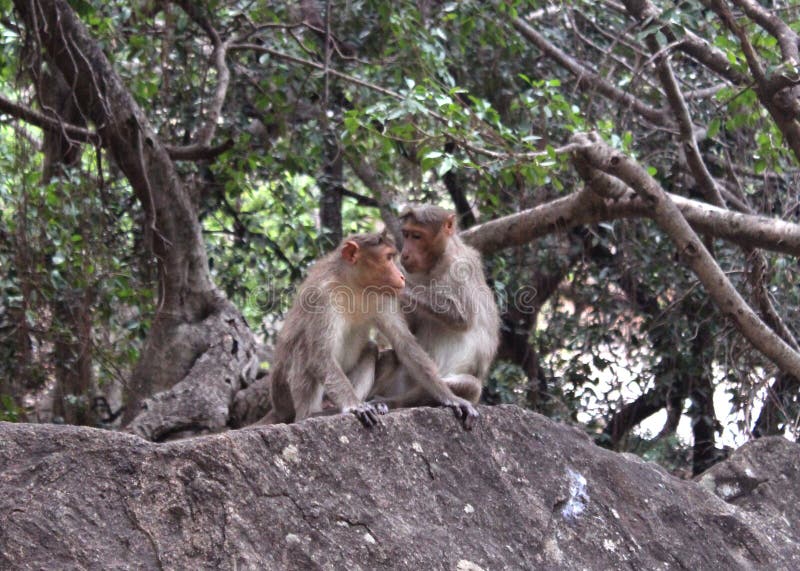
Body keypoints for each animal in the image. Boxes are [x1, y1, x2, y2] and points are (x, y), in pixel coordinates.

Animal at [260, 230, 478, 426]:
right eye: (388, 258)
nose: (401, 276)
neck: (354, 285)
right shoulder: (320, 296)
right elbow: (319, 355)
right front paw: (354, 405)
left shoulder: (384, 294)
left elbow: (405, 345)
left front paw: (451, 398)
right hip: (283, 395)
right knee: (304, 350)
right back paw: (312, 415)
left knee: (370, 348)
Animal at [372, 206, 496, 416]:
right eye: (406, 234)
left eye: (417, 236)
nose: (404, 253)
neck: (436, 262)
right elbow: (408, 332)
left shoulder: (461, 266)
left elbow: (463, 317)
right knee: (391, 356)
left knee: (470, 385)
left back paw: (392, 402)